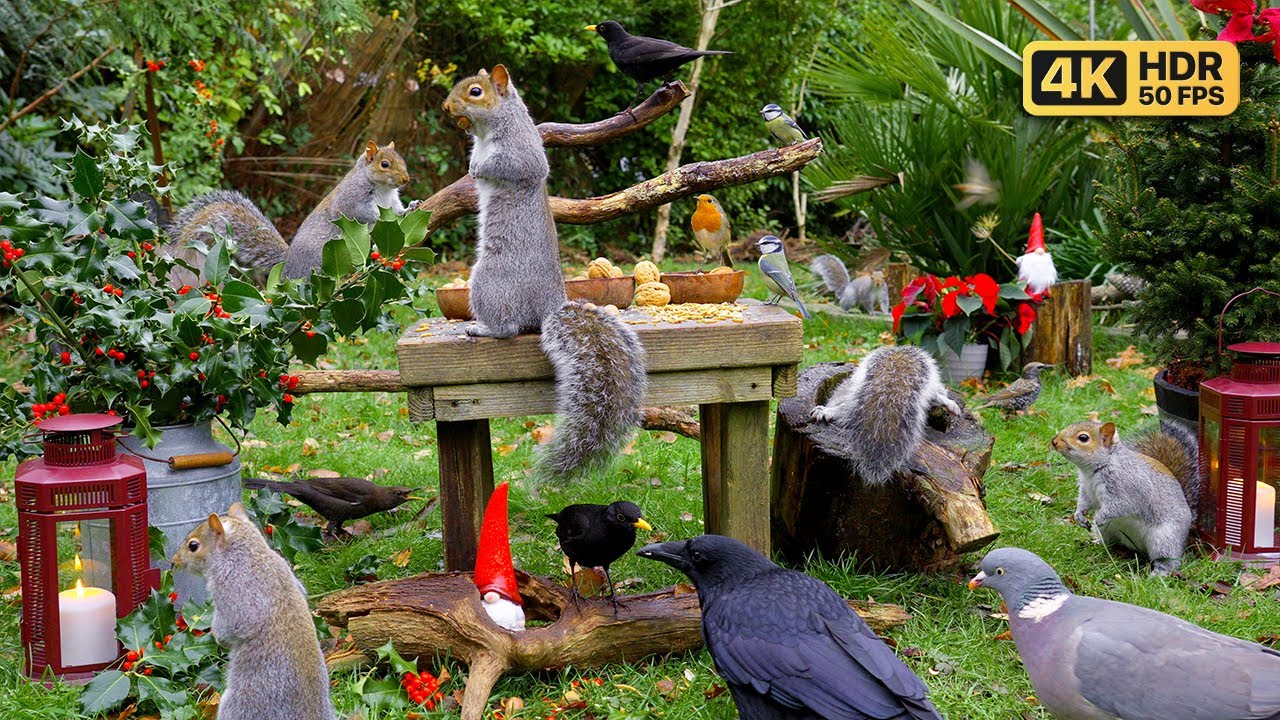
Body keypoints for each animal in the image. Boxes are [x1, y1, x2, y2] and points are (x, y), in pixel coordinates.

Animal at [164, 141, 411, 284]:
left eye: (402, 159)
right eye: (385, 164)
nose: (406, 179)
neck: (383, 189)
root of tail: (287, 265)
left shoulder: (392, 200)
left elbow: (397, 208)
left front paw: (410, 207)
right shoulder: (352, 199)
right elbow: (362, 214)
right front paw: (385, 218)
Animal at [170, 503, 335, 720]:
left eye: (193, 546)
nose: (174, 560)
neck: (250, 553)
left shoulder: (234, 588)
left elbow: (234, 624)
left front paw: (218, 636)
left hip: (240, 706)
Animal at [442, 64, 647, 479]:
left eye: (475, 92)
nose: (446, 107)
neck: (490, 131)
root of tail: (549, 305)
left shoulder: (521, 151)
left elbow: (511, 166)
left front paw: (477, 168)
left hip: (488, 282)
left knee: (507, 328)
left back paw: (481, 328)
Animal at [1052, 419, 1199, 575]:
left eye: (1083, 438)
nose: (1054, 441)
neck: (1096, 469)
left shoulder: (1128, 490)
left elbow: (1119, 507)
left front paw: (1098, 517)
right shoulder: (1087, 489)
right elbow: (1084, 502)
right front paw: (1079, 516)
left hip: (1165, 539)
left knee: (1168, 560)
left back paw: (1160, 572)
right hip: (1107, 530)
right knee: (1111, 541)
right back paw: (1098, 543)